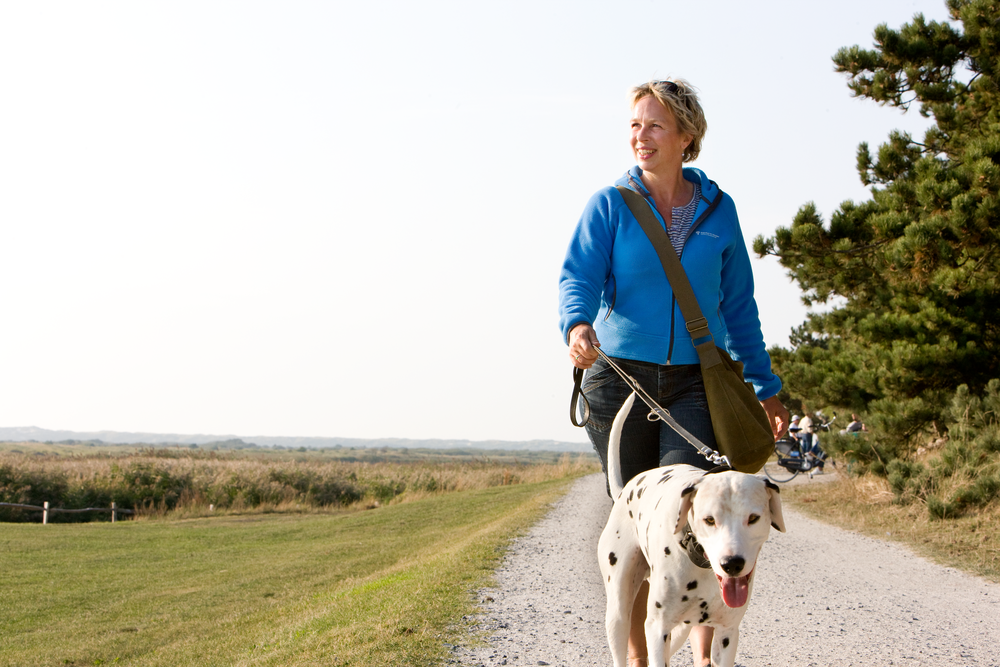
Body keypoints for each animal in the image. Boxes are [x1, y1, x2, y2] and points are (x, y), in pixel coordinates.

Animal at [596, 392, 784, 667]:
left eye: (753, 518)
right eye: (709, 520)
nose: (732, 564)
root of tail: (624, 491)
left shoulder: (727, 633)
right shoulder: (657, 629)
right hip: (619, 611)